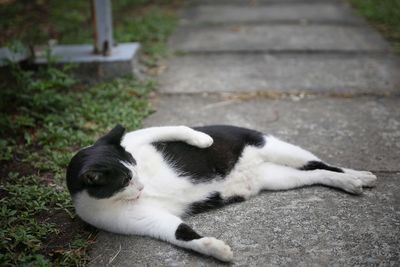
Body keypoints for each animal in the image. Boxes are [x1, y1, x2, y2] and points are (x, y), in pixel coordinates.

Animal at [66, 124, 378, 262]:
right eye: (126, 180)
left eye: (134, 168)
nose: (141, 187)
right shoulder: (145, 220)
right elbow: (182, 234)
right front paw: (215, 248)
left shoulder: (141, 135)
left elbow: (175, 127)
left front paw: (203, 139)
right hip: (279, 178)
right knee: (315, 173)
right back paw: (350, 182)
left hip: (277, 148)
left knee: (320, 163)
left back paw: (359, 175)